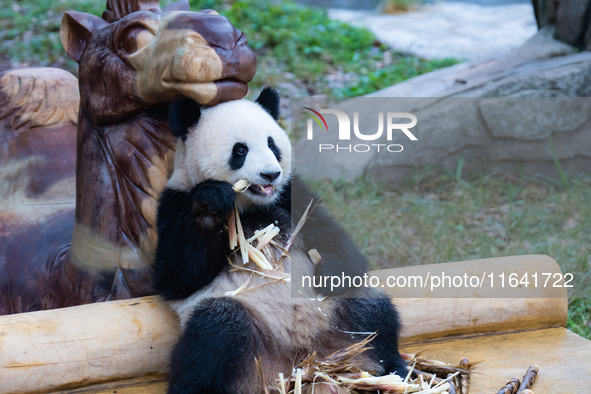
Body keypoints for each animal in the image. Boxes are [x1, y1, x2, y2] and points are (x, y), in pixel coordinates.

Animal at [153, 87, 408, 392]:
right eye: (240, 150)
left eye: (272, 144)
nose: (271, 174)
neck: (252, 206)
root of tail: (301, 362)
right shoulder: (174, 201)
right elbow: (175, 276)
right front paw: (211, 204)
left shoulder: (290, 194)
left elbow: (329, 235)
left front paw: (329, 272)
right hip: (248, 335)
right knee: (215, 334)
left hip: (337, 318)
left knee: (372, 312)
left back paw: (392, 370)